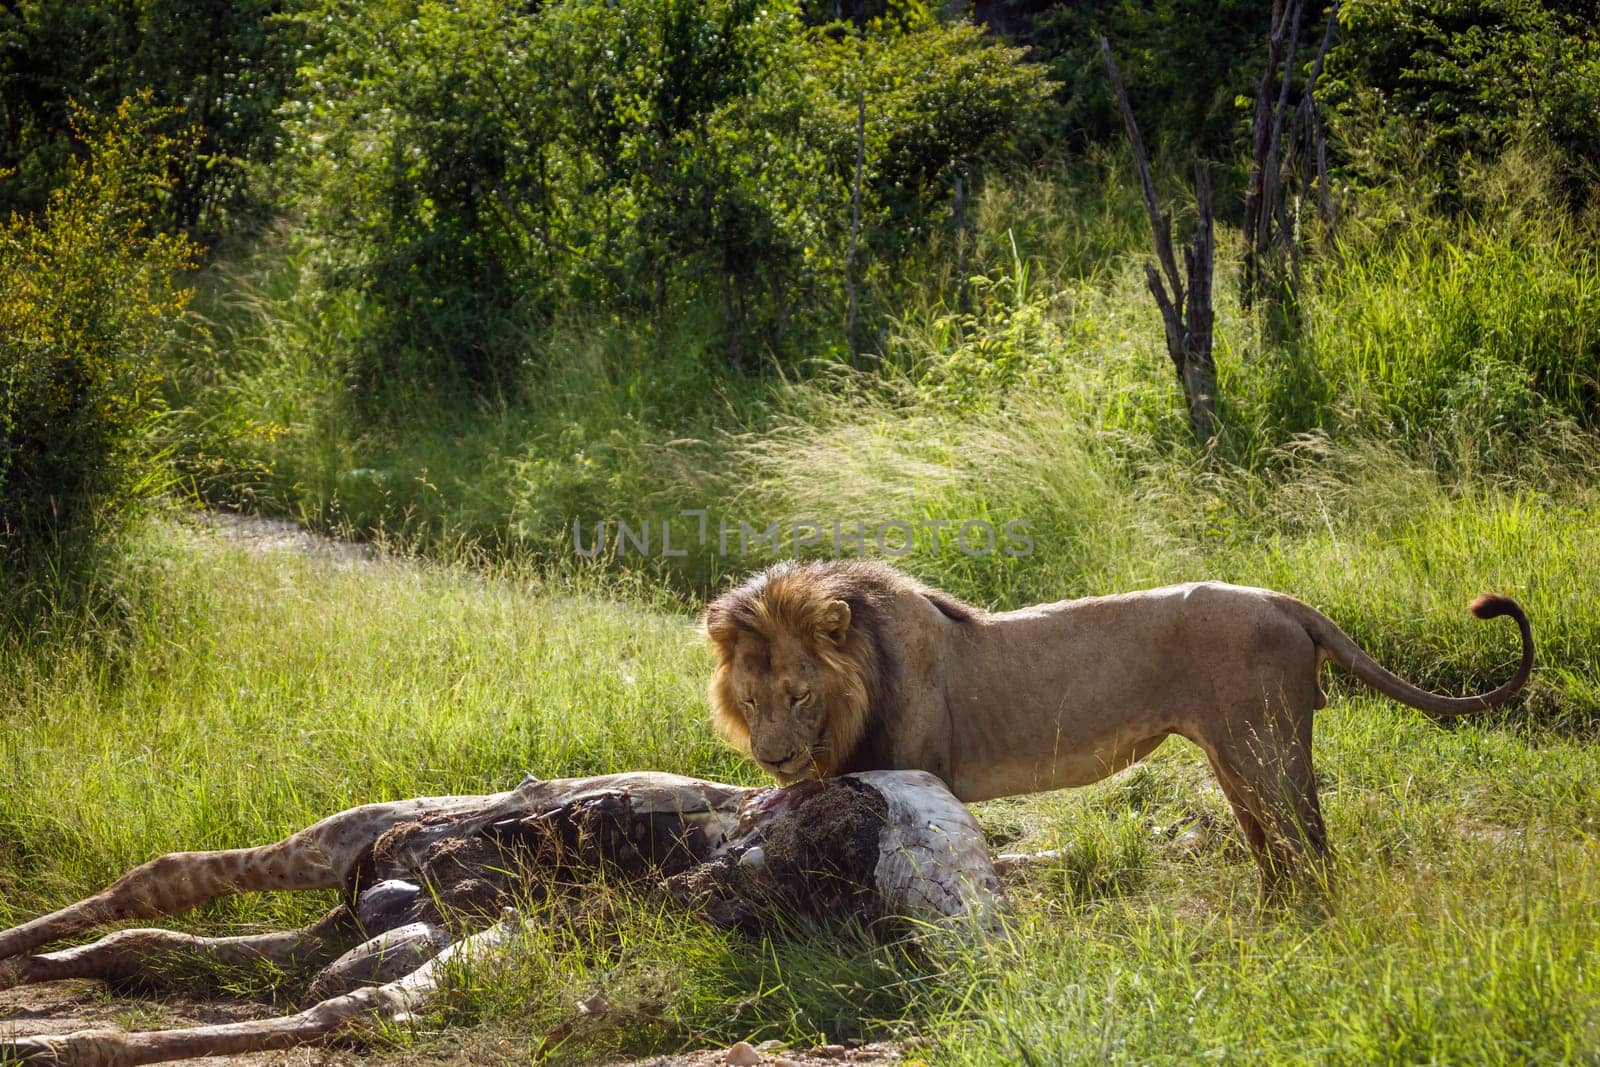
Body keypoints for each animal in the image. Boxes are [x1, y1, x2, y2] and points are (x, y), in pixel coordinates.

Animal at [707, 559, 1529, 883]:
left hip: (1266, 750)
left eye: (798, 694)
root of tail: (1282, 599)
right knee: (1274, 851)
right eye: (749, 702)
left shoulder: (913, 773)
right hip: (1235, 759)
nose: (774, 758)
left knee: (1311, 844)